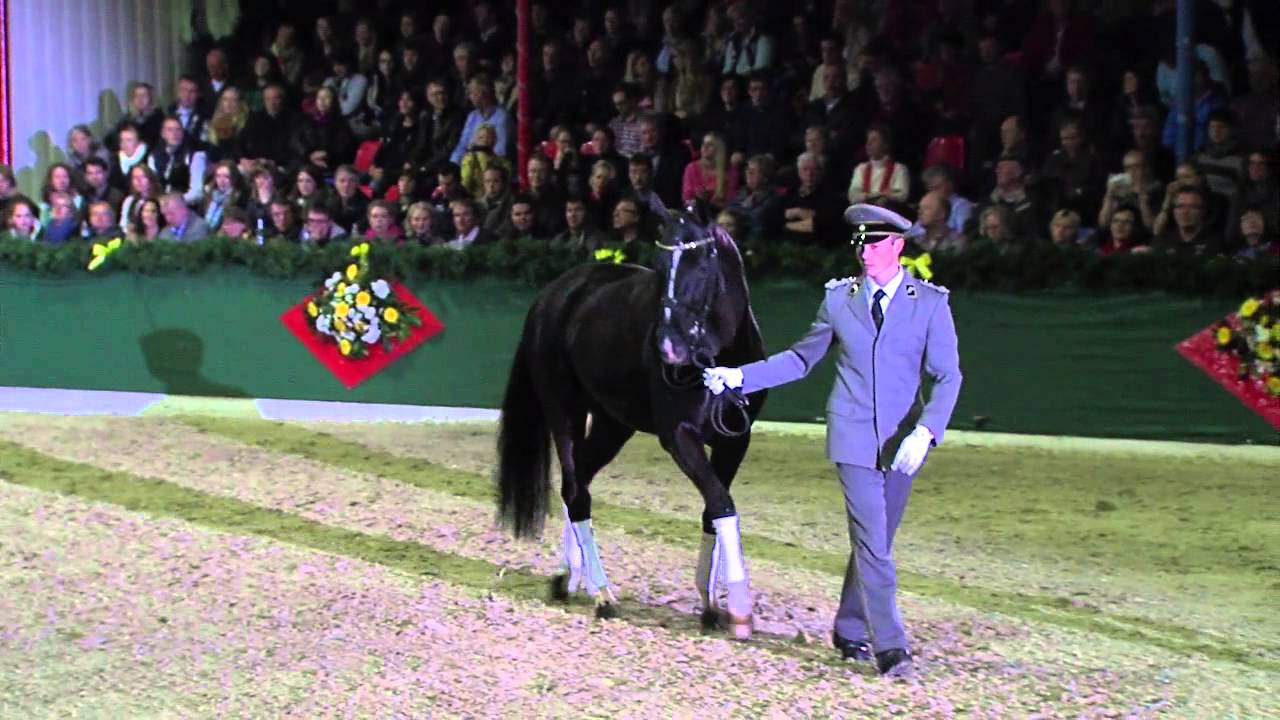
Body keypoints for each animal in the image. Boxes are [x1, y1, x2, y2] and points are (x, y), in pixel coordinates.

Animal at [495, 209, 768, 639]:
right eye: (659, 265)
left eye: (701, 263)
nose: (669, 347)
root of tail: (553, 294)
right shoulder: (679, 437)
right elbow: (722, 503)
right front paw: (740, 610)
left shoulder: (735, 441)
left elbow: (714, 508)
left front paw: (710, 605)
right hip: (565, 414)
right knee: (576, 493)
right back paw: (602, 595)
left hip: (612, 427)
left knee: (580, 483)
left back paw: (565, 577)